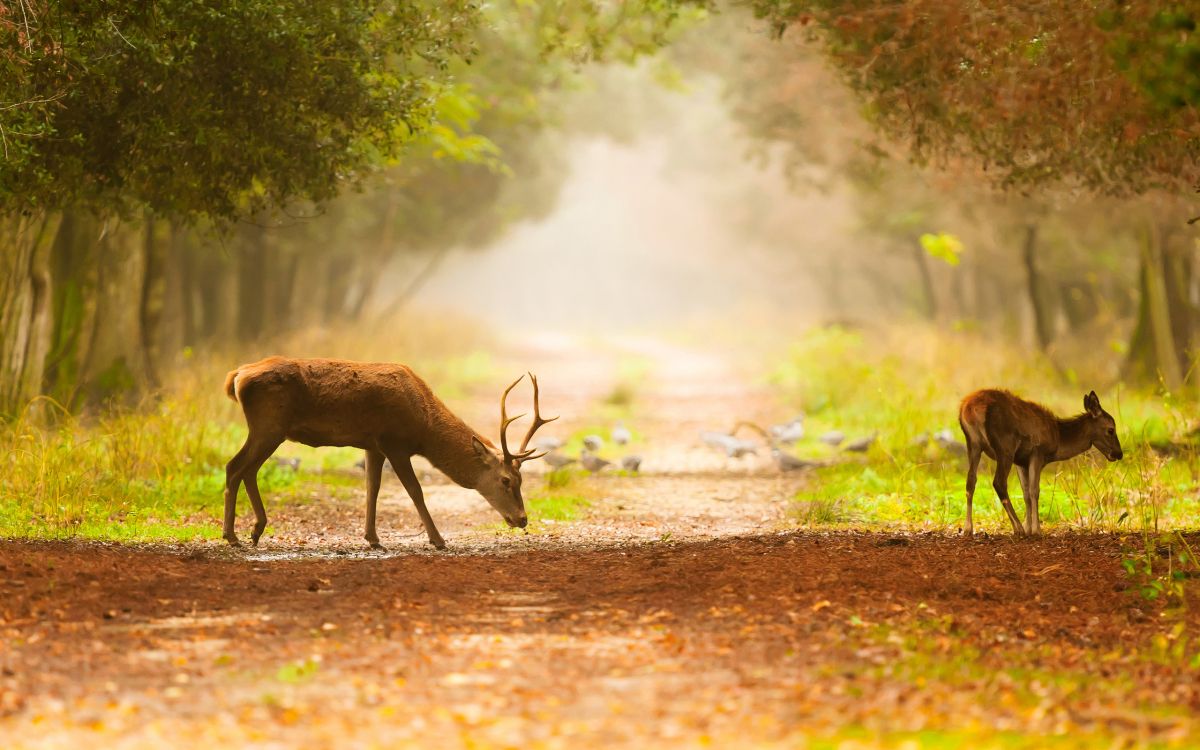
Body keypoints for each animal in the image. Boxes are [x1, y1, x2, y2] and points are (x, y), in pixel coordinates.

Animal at [221, 357, 556, 550]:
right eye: (506, 480)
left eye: (522, 481)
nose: (522, 519)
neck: (424, 426)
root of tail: (236, 376)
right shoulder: (395, 442)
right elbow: (415, 490)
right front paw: (438, 540)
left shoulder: (373, 445)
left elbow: (373, 487)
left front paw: (373, 539)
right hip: (269, 425)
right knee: (235, 467)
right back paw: (233, 536)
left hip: (268, 429)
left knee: (245, 469)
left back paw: (255, 531)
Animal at [959, 389, 1123, 537]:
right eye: (1111, 430)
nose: (1119, 453)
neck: (1058, 439)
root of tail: (969, 409)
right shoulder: (1037, 453)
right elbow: (1034, 491)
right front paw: (1035, 530)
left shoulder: (1021, 461)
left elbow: (1025, 493)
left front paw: (1029, 526)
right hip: (1005, 446)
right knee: (999, 482)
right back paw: (1018, 528)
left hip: (973, 443)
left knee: (971, 480)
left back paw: (967, 528)